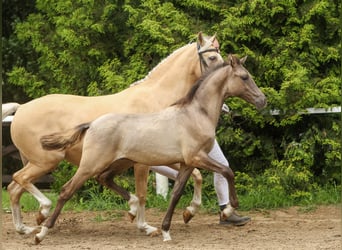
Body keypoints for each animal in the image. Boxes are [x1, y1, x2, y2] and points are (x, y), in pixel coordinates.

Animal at [7, 32, 222, 236]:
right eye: (212, 57)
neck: (156, 100)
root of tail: (21, 108)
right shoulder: (143, 163)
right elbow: (142, 194)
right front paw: (145, 226)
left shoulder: (168, 156)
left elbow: (197, 175)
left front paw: (189, 212)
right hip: (46, 161)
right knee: (19, 179)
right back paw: (42, 212)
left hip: (36, 162)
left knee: (14, 189)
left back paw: (24, 228)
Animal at [37, 54, 268, 242]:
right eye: (244, 77)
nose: (263, 100)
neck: (195, 115)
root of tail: (91, 124)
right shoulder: (197, 157)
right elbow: (228, 171)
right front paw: (230, 209)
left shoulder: (186, 163)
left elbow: (176, 194)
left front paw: (167, 230)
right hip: (90, 165)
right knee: (66, 191)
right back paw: (41, 232)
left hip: (121, 163)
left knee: (104, 179)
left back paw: (133, 210)